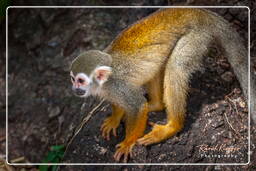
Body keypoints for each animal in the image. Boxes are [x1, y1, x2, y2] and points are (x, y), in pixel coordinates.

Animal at [69, 8, 254, 163]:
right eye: (72, 79)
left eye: (81, 80)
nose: (75, 89)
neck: (103, 84)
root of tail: (197, 11)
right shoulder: (110, 91)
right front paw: (115, 118)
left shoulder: (118, 86)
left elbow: (137, 106)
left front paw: (128, 143)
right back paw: (156, 105)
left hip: (197, 37)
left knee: (176, 67)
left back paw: (172, 127)